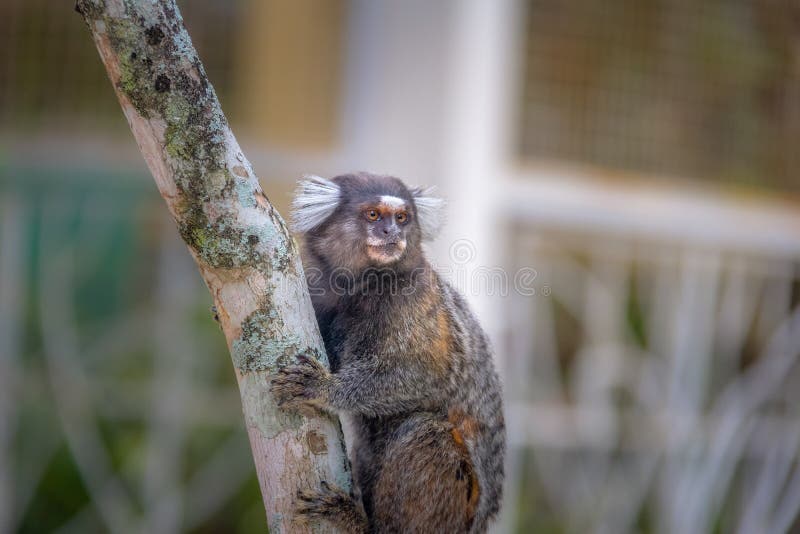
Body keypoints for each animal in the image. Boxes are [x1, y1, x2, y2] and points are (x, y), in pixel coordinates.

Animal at [272, 174, 504, 532]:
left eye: (402, 218)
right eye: (373, 215)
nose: (391, 233)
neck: (362, 286)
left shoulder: (412, 299)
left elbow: (427, 376)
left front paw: (323, 389)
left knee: (426, 433)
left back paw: (357, 521)